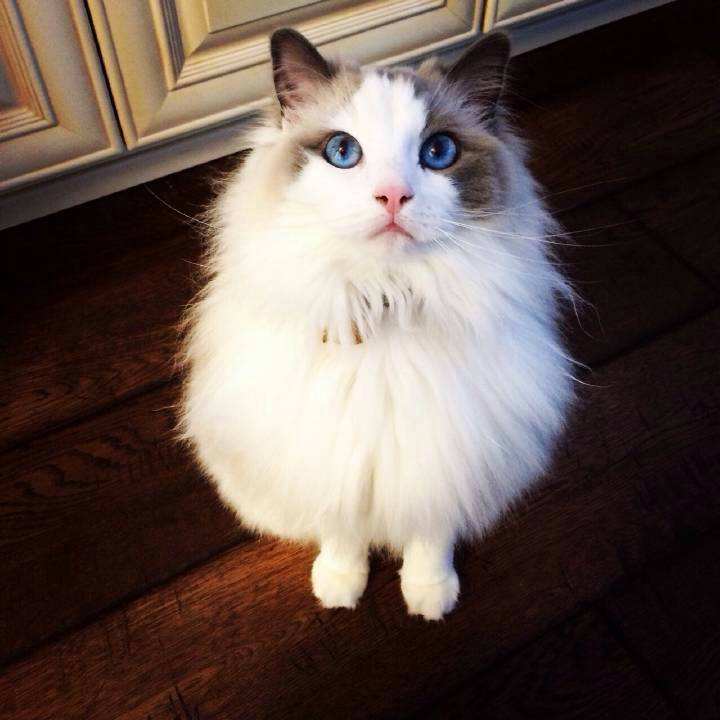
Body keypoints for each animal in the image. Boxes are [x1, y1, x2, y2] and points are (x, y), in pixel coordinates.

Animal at [179, 28, 575, 620]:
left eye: (439, 152)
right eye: (343, 152)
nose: (392, 196)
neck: (387, 302)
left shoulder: (445, 458)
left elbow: (430, 535)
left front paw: (429, 595)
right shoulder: (330, 458)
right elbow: (342, 530)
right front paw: (342, 586)